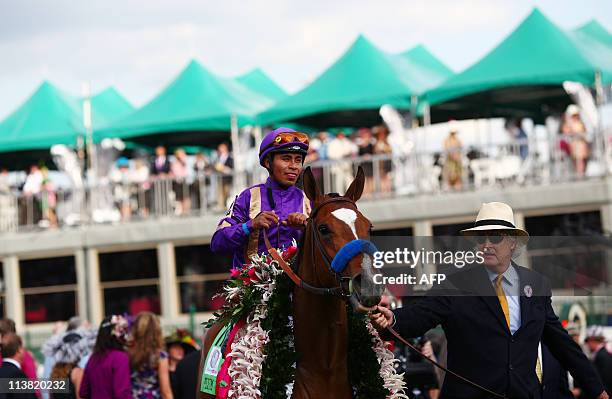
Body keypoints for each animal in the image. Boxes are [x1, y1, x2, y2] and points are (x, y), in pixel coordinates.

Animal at [198, 168, 380, 399]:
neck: (324, 367)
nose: (368, 285)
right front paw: (260, 220)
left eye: (369, 227)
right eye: (324, 229)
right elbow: (221, 234)